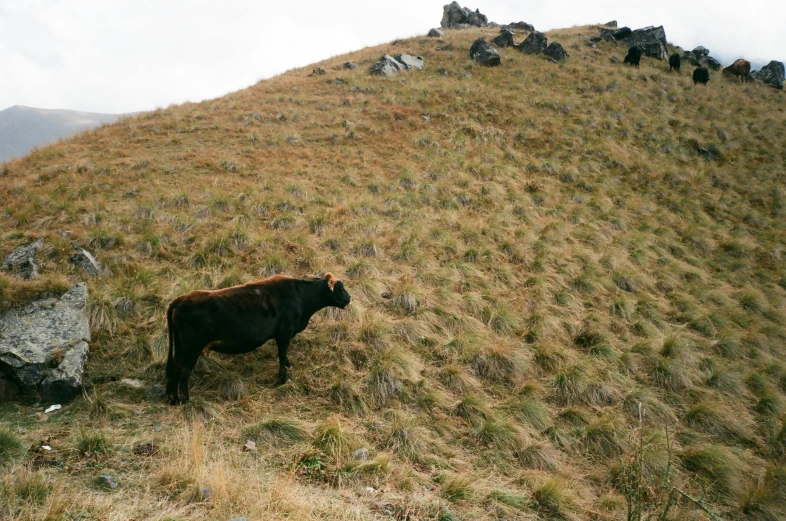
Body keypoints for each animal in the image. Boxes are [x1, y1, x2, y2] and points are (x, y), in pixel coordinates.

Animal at [165, 270, 350, 404]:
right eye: (340, 288)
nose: (349, 298)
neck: (300, 295)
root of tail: (181, 299)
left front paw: (289, 366)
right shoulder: (284, 332)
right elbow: (282, 354)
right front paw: (283, 378)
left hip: (180, 346)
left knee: (175, 368)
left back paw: (174, 399)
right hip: (192, 348)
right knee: (184, 371)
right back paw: (186, 400)